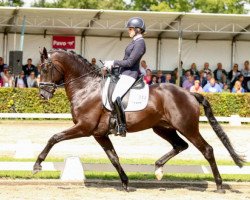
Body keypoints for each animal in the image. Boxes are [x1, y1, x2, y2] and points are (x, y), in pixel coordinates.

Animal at [34, 48, 245, 192]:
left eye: (46, 67)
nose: (43, 94)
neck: (86, 87)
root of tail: (189, 93)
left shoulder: (84, 128)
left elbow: (54, 137)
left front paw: (37, 165)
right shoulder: (99, 134)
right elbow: (113, 157)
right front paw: (126, 183)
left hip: (187, 127)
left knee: (207, 150)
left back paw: (219, 185)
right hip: (163, 128)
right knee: (180, 145)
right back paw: (158, 168)